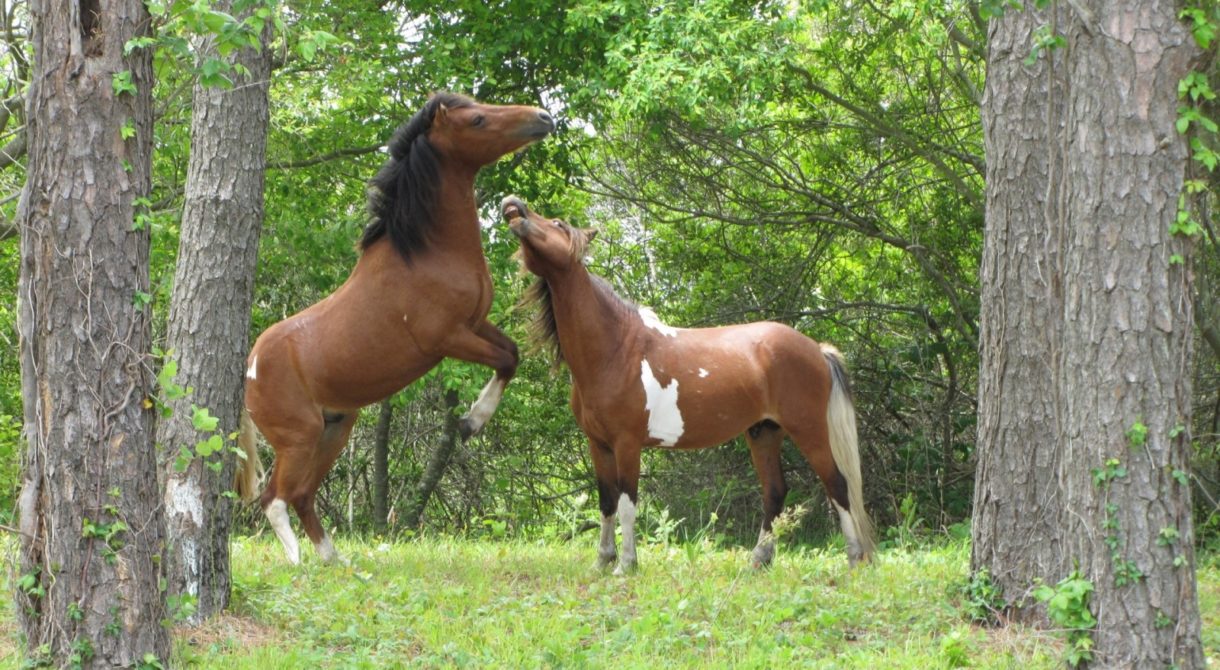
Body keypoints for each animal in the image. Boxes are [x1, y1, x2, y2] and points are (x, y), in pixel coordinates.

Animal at [237, 95, 553, 563]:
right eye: (477, 119)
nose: (543, 117)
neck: (423, 253)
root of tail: (250, 368)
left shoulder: (475, 324)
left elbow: (511, 354)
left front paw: (470, 421)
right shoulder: (447, 339)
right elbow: (504, 360)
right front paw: (472, 422)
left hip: (335, 429)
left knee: (302, 496)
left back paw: (334, 561)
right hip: (299, 437)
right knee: (274, 498)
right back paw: (298, 563)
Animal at [500, 196, 873, 571]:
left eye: (558, 224)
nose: (513, 204)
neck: (615, 350)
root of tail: (817, 349)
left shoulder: (627, 444)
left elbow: (627, 503)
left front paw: (626, 565)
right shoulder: (598, 444)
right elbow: (606, 502)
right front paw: (602, 563)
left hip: (808, 429)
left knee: (837, 485)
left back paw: (854, 559)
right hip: (764, 432)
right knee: (775, 492)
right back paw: (758, 561)